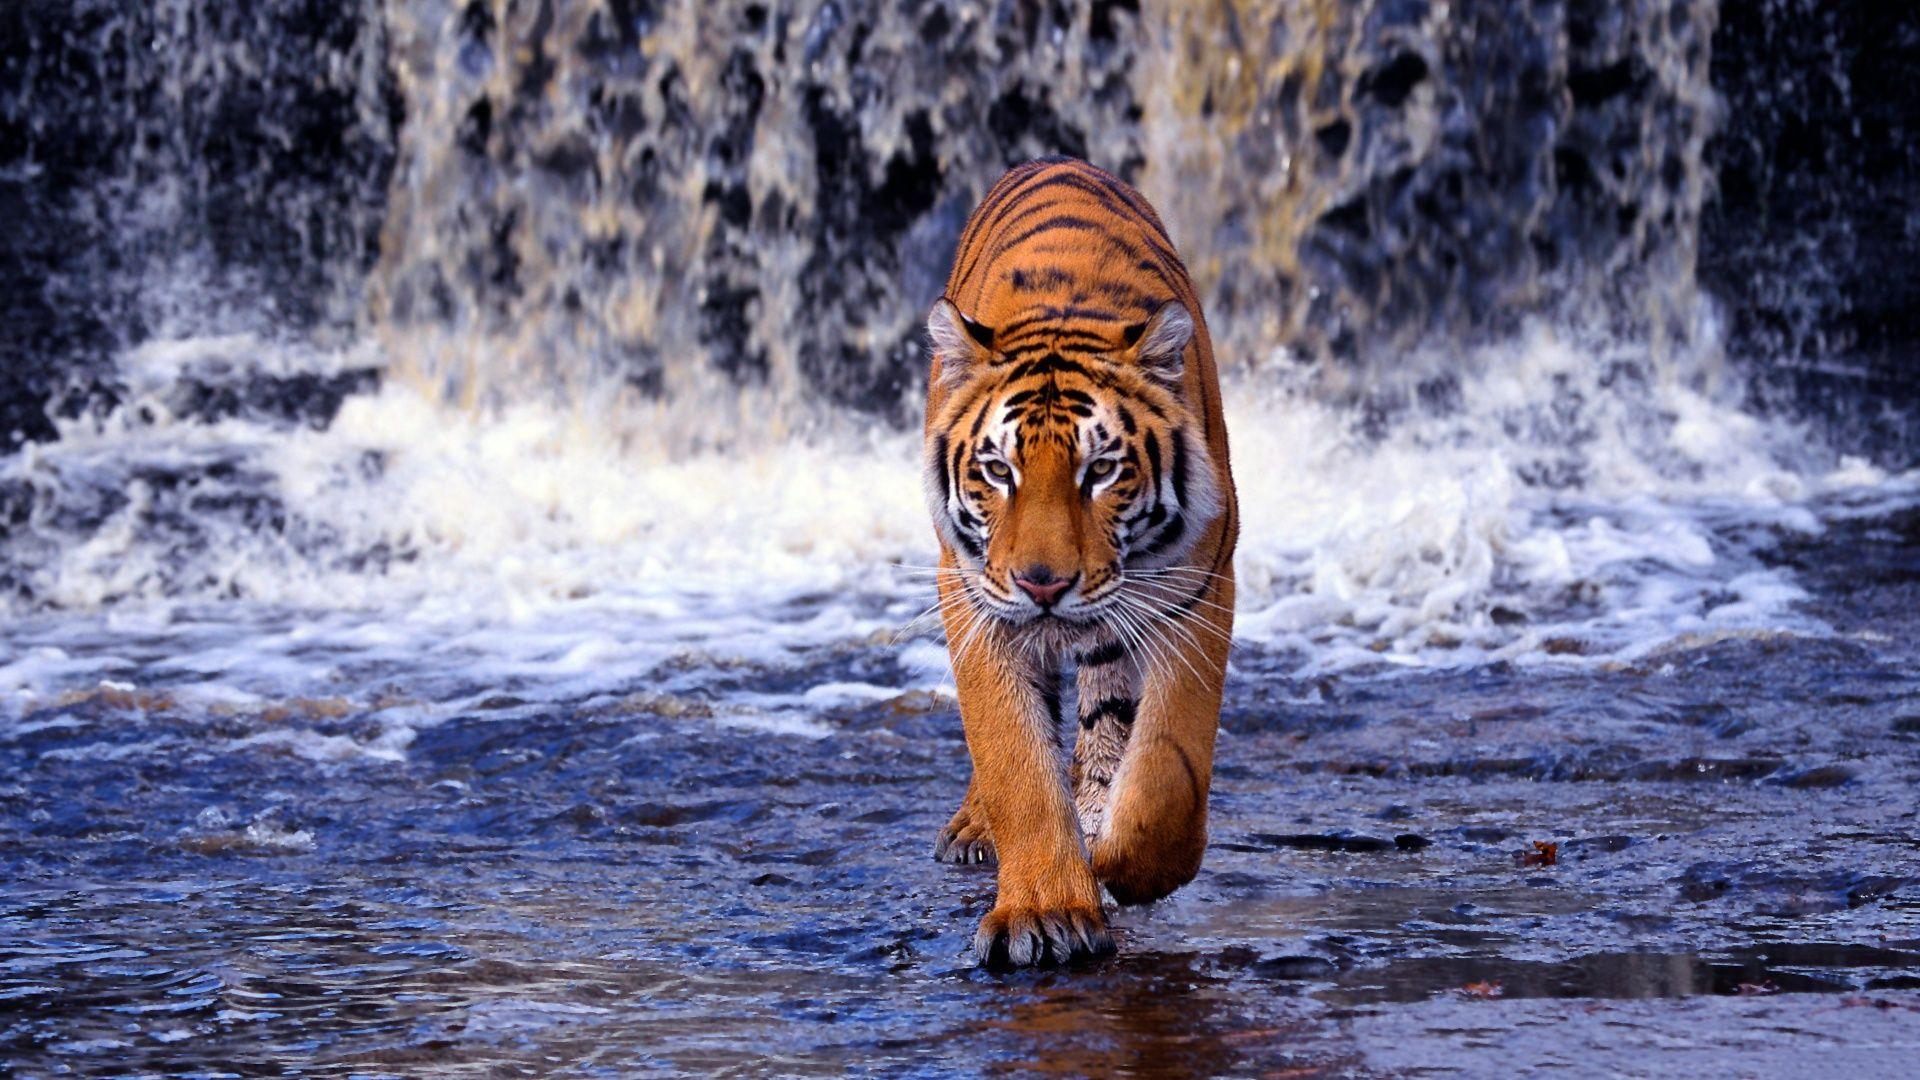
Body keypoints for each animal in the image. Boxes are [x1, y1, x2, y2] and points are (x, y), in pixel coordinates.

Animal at [920, 156, 1238, 969]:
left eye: (1101, 471)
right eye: (997, 470)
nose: (1043, 585)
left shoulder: (1196, 588)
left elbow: (1167, 766)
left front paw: (1127, 863)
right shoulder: (973, 597)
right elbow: (1014, 757)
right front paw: (1045, 910)